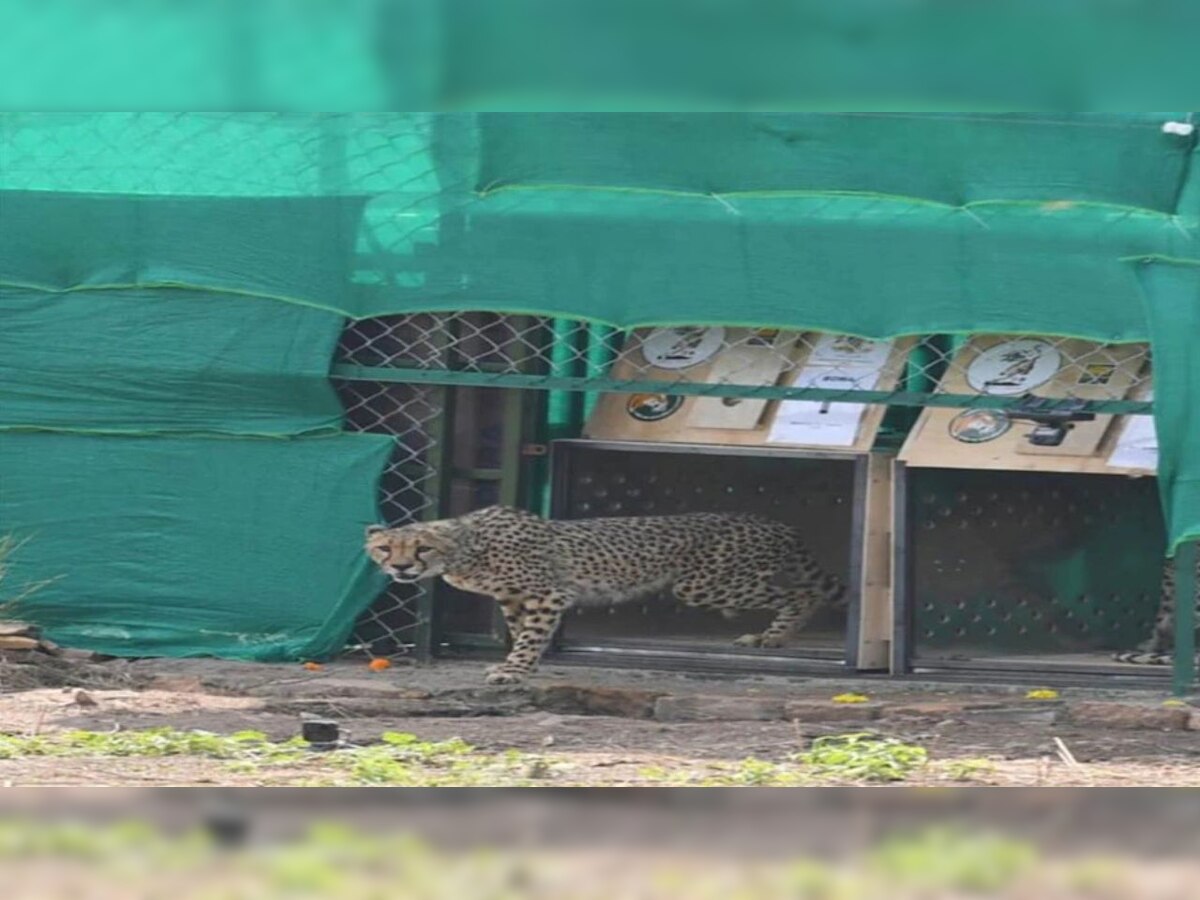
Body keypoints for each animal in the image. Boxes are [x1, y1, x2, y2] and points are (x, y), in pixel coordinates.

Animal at [362, 508, 844, 681]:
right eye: (386, 548)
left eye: (421, 547)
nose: (401, 568)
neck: (466, 547)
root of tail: (776, 523)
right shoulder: (515, 599)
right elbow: (523, 633)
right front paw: (524, 666)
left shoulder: (548, 593)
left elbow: (530, 636)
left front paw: (514, 670)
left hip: (706, 584)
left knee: (803, 594)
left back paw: (774, 637)